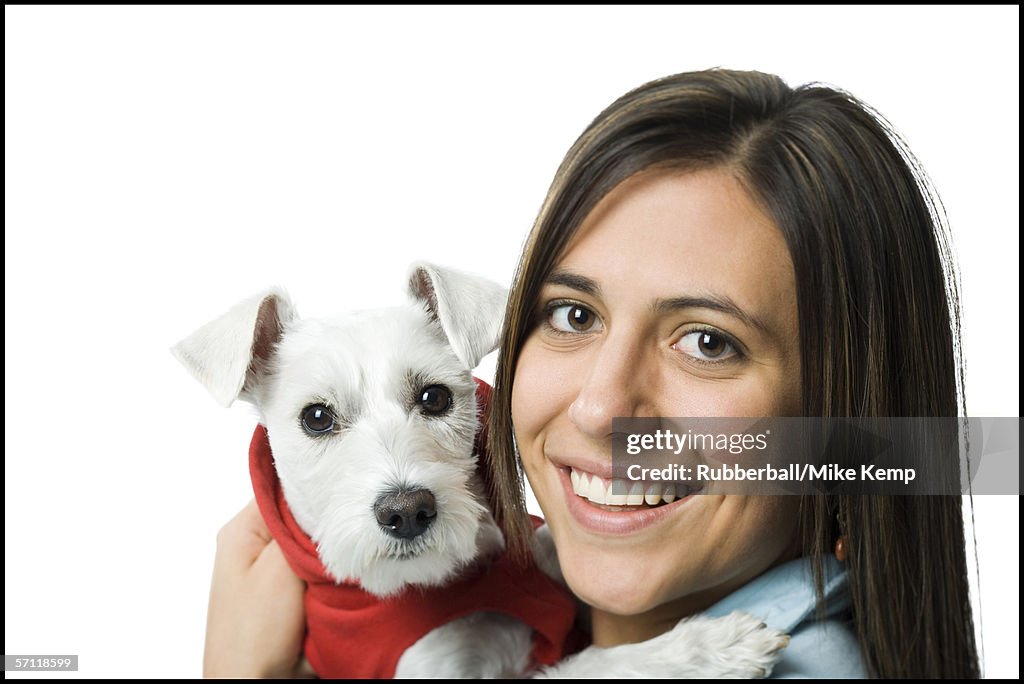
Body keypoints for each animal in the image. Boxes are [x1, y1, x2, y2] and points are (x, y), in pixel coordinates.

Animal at [172, 262, 786, 679]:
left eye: (435, 396)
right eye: (316, 417)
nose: (407, 511)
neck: (453, 580)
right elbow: (591, 666)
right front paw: (710, 644)